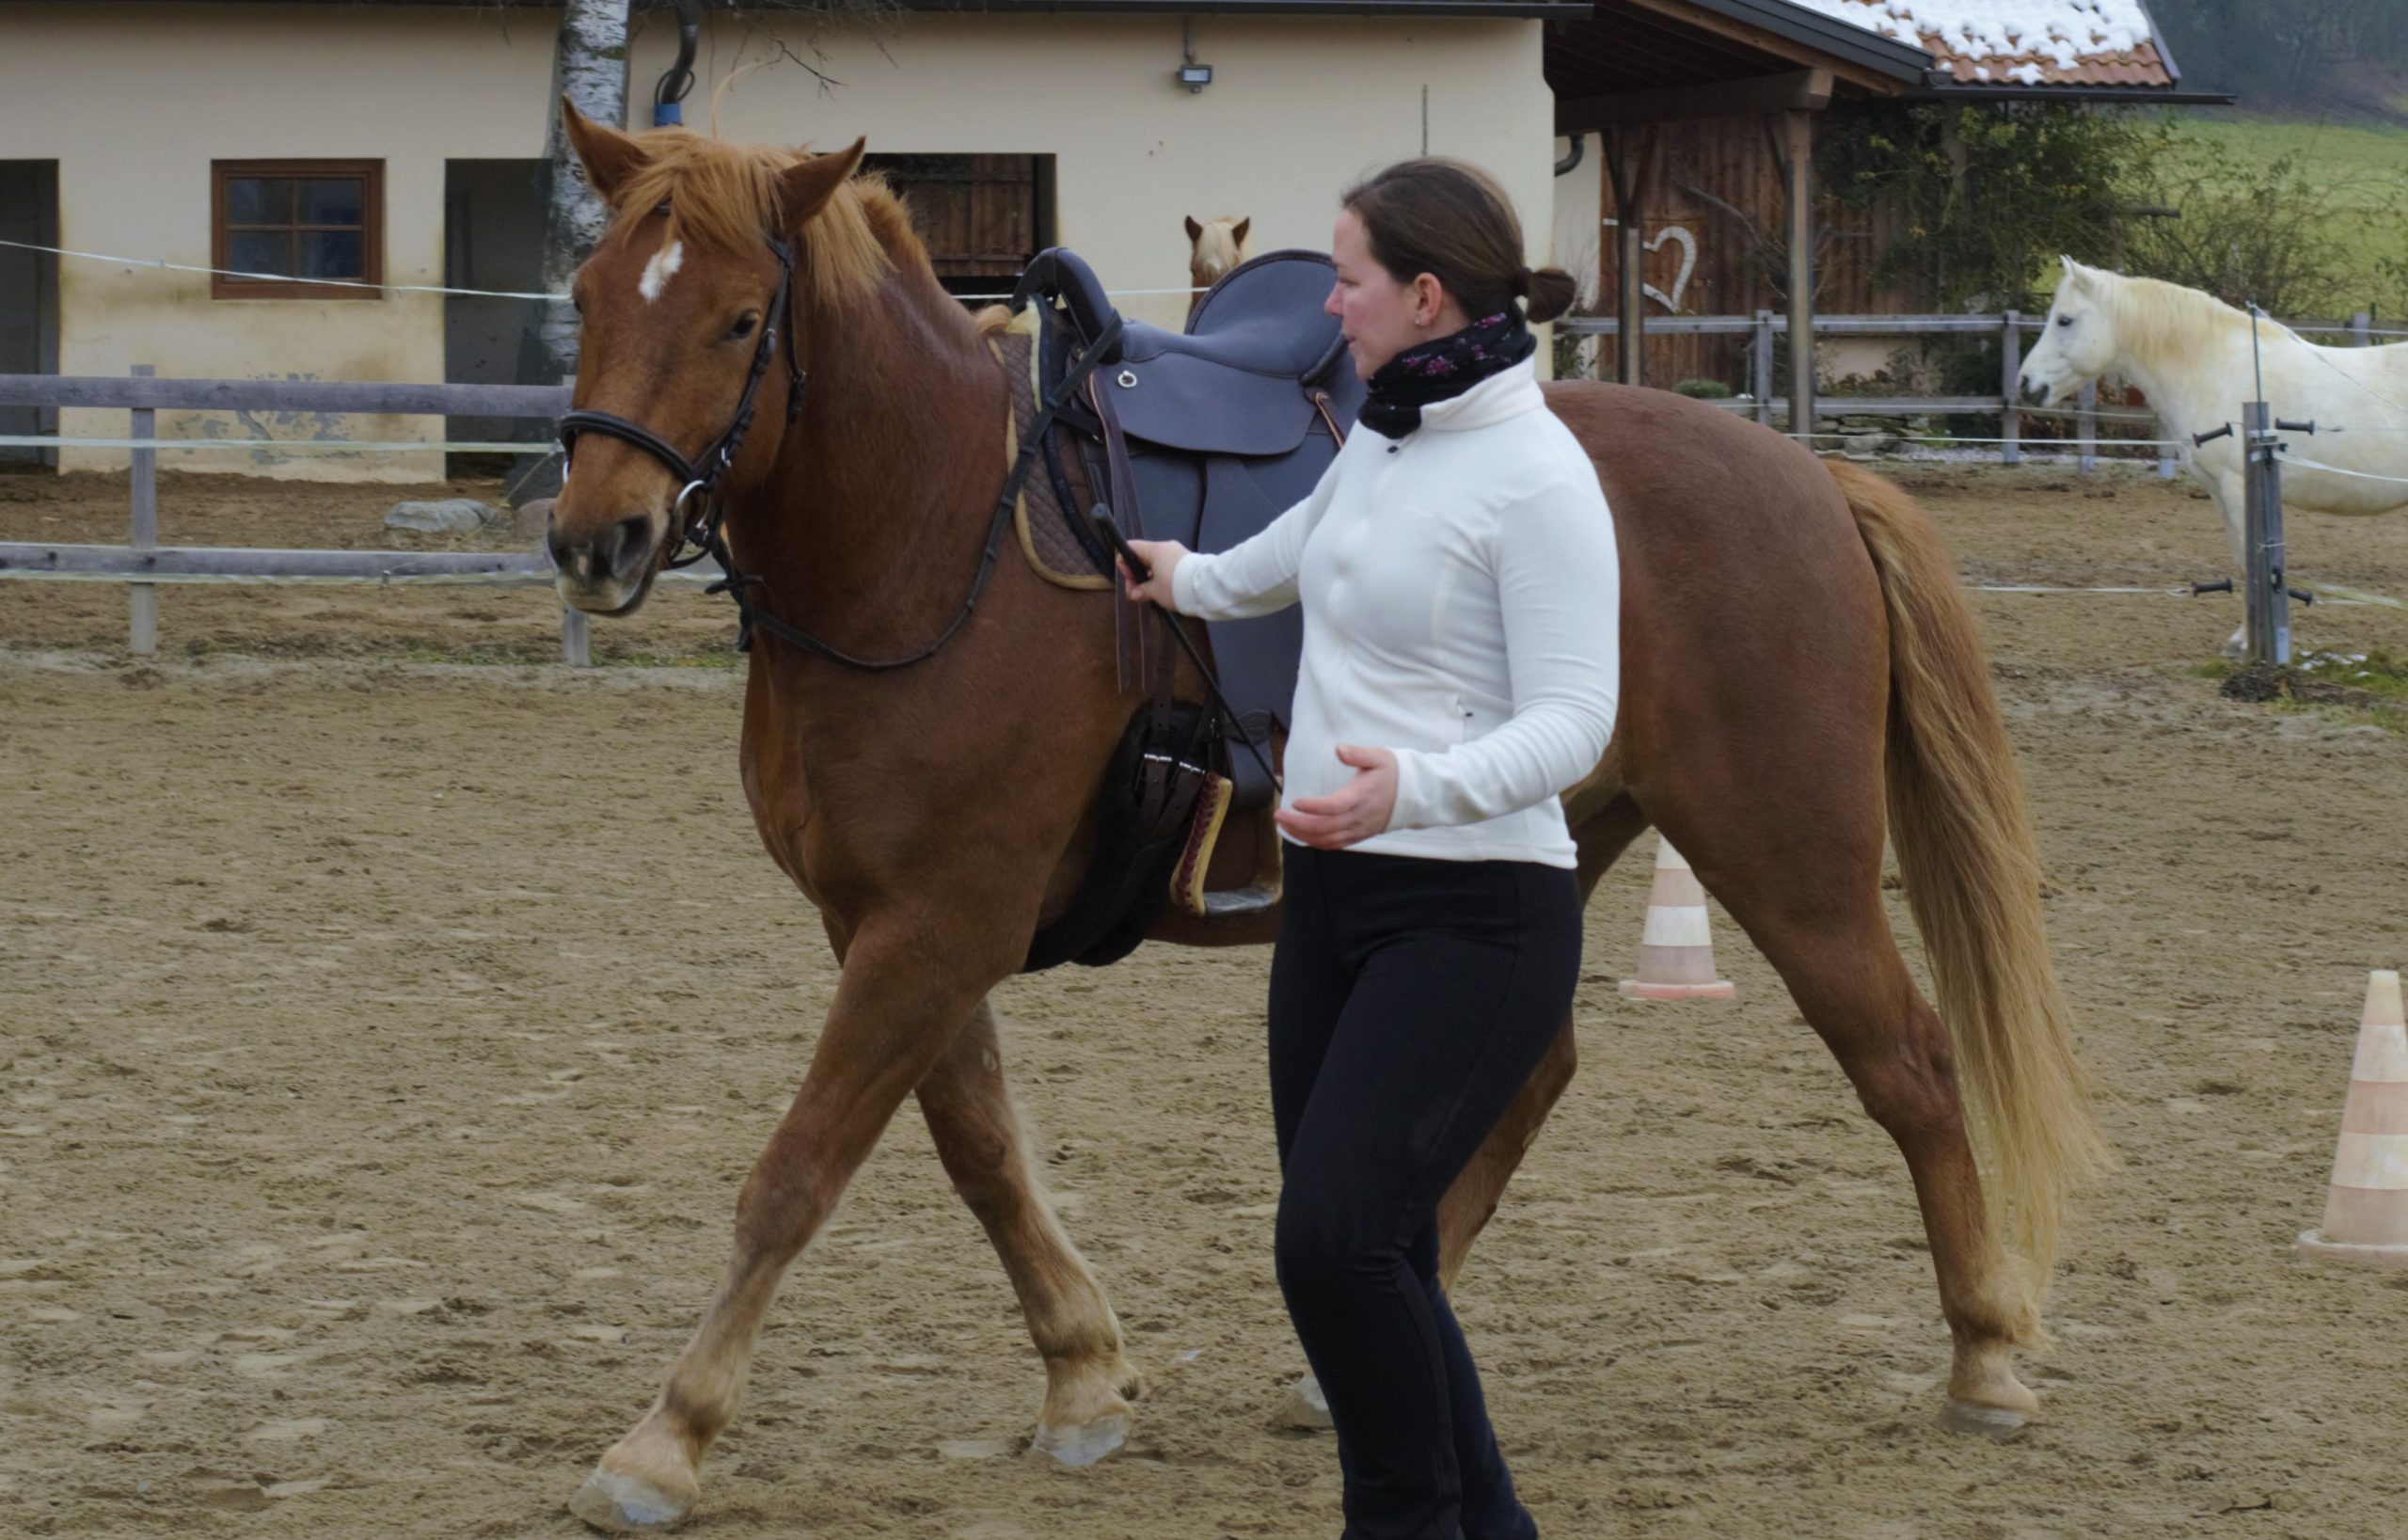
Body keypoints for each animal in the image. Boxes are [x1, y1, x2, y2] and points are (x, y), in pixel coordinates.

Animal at [536, 105, 2099, 1532]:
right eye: (590, 294)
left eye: (743, 319)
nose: (595, 538)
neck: (929, 535)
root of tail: (1806, 475)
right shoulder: (892, 922)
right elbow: (978, 1149)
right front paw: (1083, 1373)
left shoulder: (938, 924)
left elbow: (796, 1172)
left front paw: (663, 1441)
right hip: (1571, 831)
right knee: (1532, 1075)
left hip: (1790, 859)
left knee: (1910, 1065)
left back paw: (1983, 1356)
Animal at [2013, 258, 2408, 650]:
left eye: (2064, 320)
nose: (2026, 384)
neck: (2214, 366)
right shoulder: (2219, 494)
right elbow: (2241, 561)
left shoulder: (2237, 489)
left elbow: (2252, 563)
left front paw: (2248, 642)